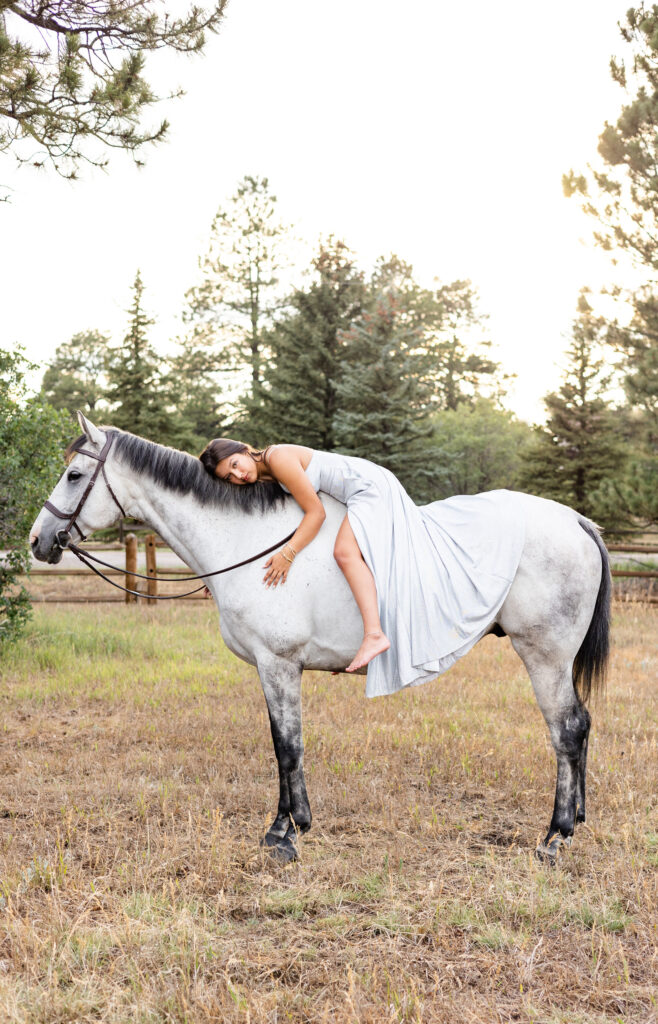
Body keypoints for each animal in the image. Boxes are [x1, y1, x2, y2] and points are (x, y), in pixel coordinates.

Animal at [28, 411, 609, 860]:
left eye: (75, 474)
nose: (38, 540)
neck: (249, 542)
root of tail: (577, 521)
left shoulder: (279, 663)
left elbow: (288, 746)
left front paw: (285, 834)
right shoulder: (272, 668)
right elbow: (281, 743)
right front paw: (290, 824)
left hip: (545, 656)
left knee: (567, 730)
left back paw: (556, 836)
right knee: (580, 727)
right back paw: (576, 820)